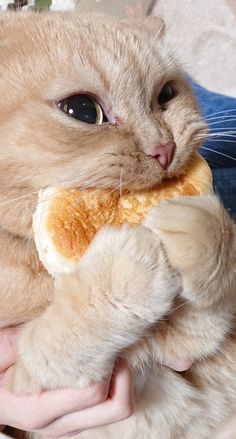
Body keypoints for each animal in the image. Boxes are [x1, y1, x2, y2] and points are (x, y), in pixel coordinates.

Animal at [0, 11, 235, 439]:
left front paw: (200, 226)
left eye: (165, 95)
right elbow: (62, 334)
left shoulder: (184, 349)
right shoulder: (25, 380)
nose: (164, 149)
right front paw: (127, 265)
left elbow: (212, 294)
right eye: (81, 110)